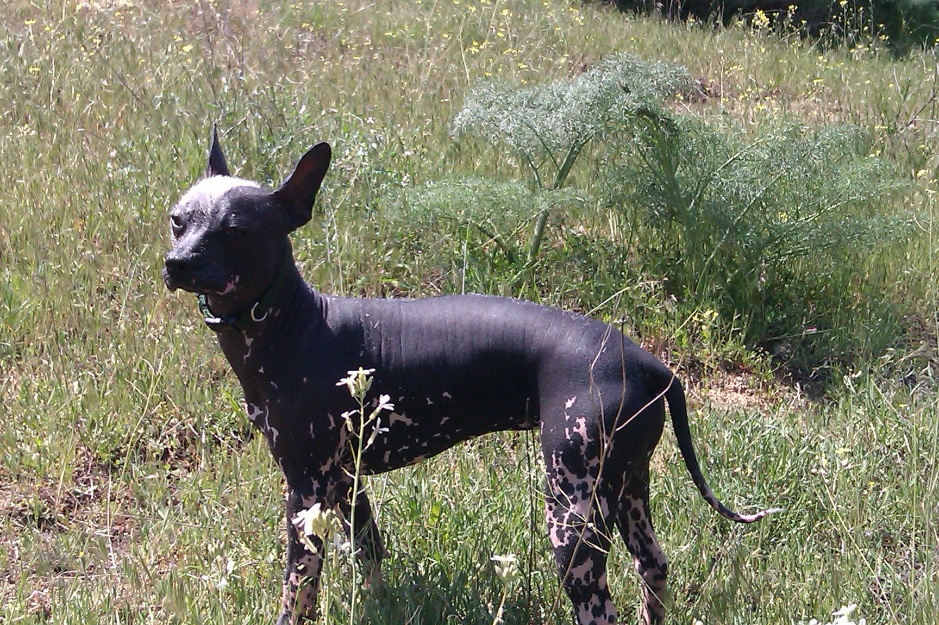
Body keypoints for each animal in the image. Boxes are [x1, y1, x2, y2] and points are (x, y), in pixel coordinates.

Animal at [163, 132, 780, 624]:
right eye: (177, 220)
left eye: (236, 231)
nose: (177, 263)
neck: (296, 324)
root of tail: (654, 365)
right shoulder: (347, 485)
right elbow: (371, 555)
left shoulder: (305, 494)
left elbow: (298, 596)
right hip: (628, 486)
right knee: (653, 567)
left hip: (571, 517)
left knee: (600, 607)